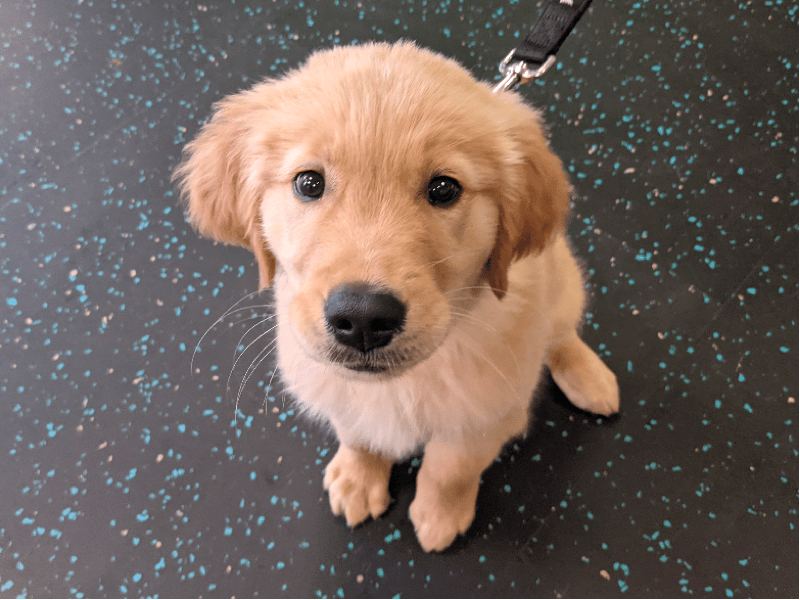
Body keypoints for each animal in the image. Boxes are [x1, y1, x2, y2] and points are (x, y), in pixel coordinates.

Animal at [178, 39, 620, 552]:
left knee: (562, 333)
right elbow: (357, 433)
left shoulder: (490, 409)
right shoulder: (334, 383)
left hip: (563, 280)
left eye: (444, 189)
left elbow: (451, 466)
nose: (363, 319)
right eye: (309, 183)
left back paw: (589, 377)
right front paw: (358, 478)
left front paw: (440, 513)